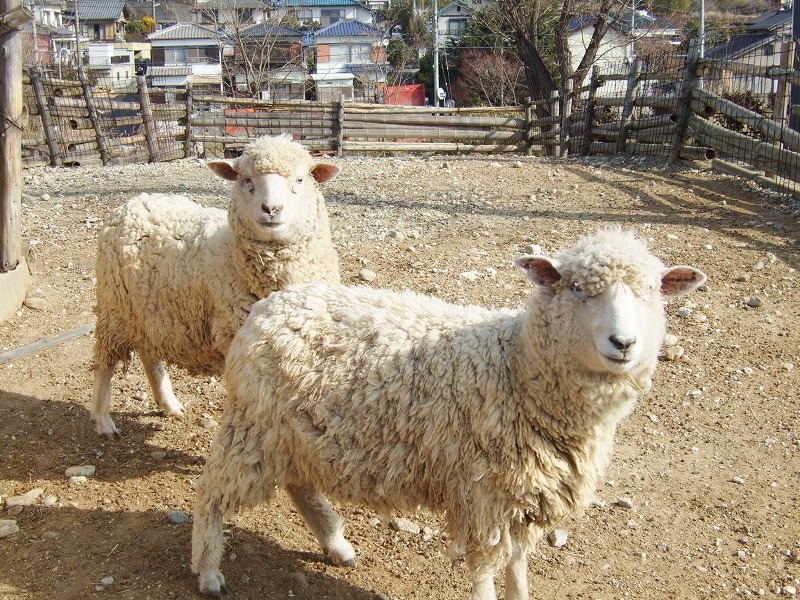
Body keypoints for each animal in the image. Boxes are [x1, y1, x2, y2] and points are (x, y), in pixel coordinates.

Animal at [90, 135, 340, 436]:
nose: (271, 209)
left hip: (151, 310)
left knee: (149, 355)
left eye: (300, 179)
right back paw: (102, 420)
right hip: (114, 308)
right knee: (105, 363)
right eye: (246, 179)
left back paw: (168, 403)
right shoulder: (237, 338)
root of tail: (136, 201)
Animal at [192, 230, 708, 600]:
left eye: (651, 293)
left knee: (299, 485)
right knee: (213, 492)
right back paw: (208, 571)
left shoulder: (523, 496)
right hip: (253, 424)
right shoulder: (483, 496)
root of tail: (272, 304)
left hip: (293, 431)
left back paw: (336, 546)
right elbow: (484, 572)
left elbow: (518, 567)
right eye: (577, 288)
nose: (624, 343)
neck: (517, 369)